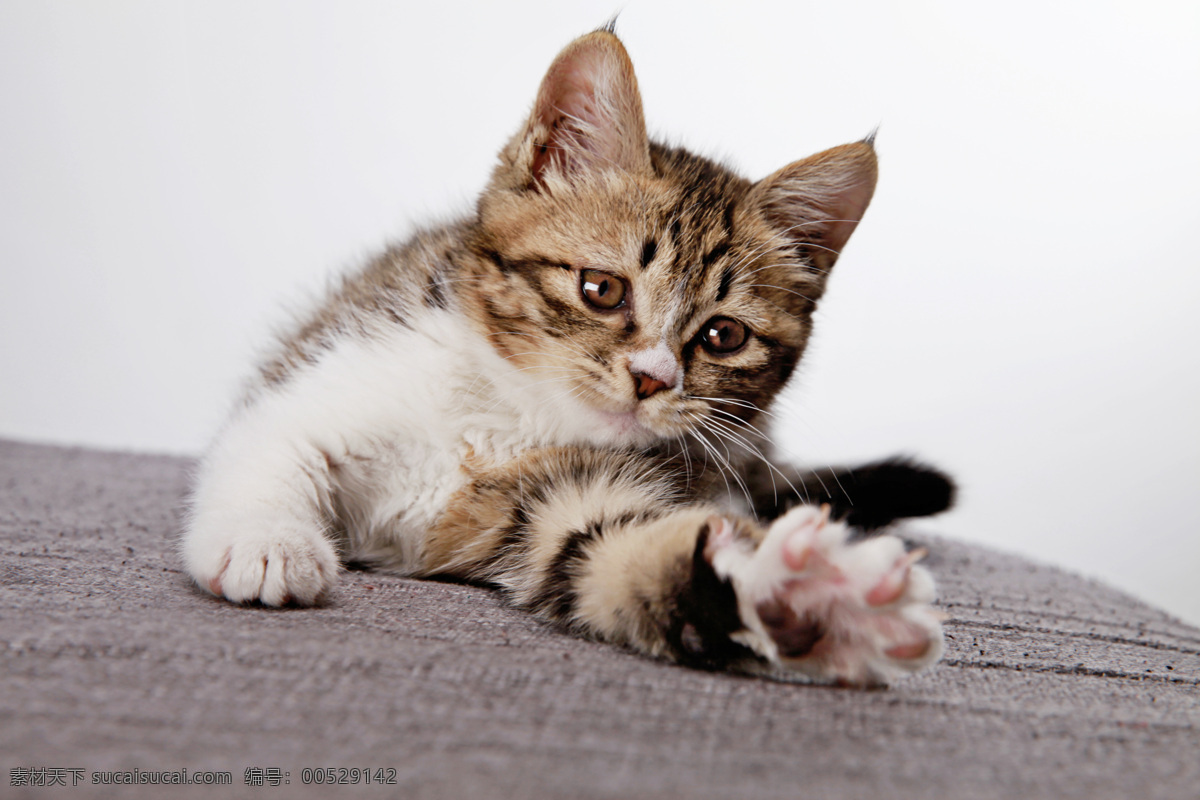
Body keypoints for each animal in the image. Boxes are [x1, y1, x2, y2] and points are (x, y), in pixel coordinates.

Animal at [184, 28, 955, 686]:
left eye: (722, 337)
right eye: (601, 289)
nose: (651, 378)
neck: (505, 417)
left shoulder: (558, 495)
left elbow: (606, 547)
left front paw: (805, 595)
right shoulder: (338, 366)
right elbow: (276, 447)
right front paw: (267, 543)